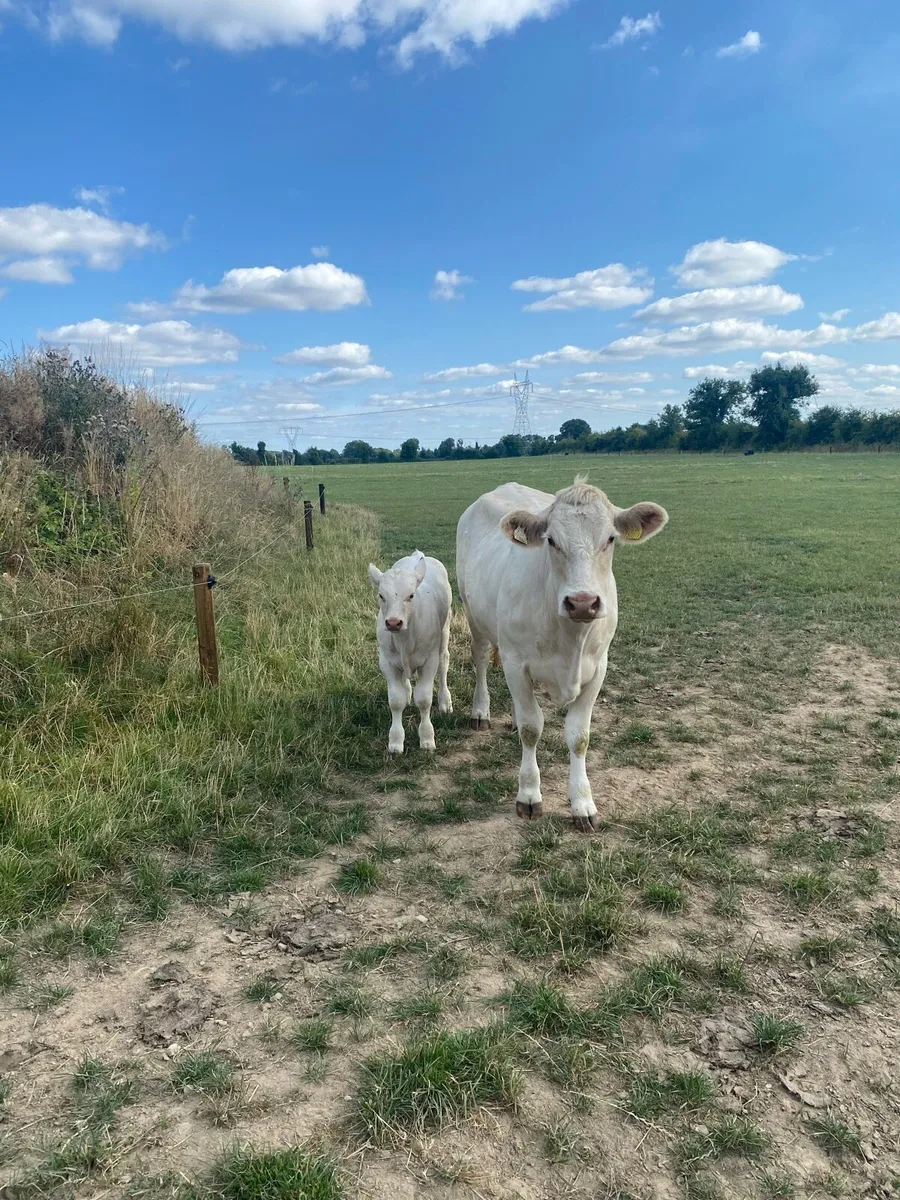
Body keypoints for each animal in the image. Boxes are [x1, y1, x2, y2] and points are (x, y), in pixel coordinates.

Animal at [368, 551, 453, 755]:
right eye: (381, 595)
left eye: (411, 595)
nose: (393, 622)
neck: (405, 640)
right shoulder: (387, 662)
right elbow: (395, 700)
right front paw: (396, 740)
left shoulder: (429, 660)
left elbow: (424, 699)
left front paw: (427, 738)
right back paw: (407, 691)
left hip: (445, 630)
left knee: (443, 663)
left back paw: (445, 701)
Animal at [456, 478, 668, 832]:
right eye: (551, 540)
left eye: (610, 538)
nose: (582, 602)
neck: (570, 638)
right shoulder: (516, 662)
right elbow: (532, 728)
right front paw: (529, 795)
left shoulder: (598, 668)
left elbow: (578, 736)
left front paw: (582, 803)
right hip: (474, 616)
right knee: (482, 659)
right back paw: (480, 711)